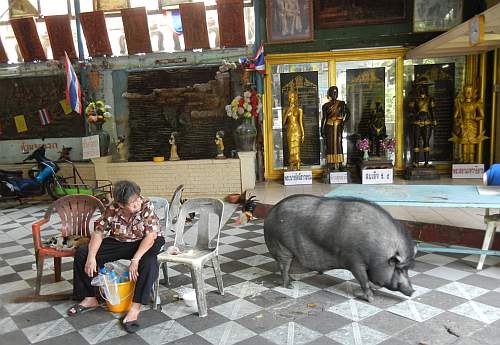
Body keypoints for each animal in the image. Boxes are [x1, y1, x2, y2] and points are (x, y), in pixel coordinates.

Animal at [264, 195, 416, 300]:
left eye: (407, 268)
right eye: (399, 269)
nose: (413, 291)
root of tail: (270, 214)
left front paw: (373, 289)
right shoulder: (355, 262)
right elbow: (363, 280)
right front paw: (371, 298)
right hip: (282, 248)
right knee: (283, 267)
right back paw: (290, 285)